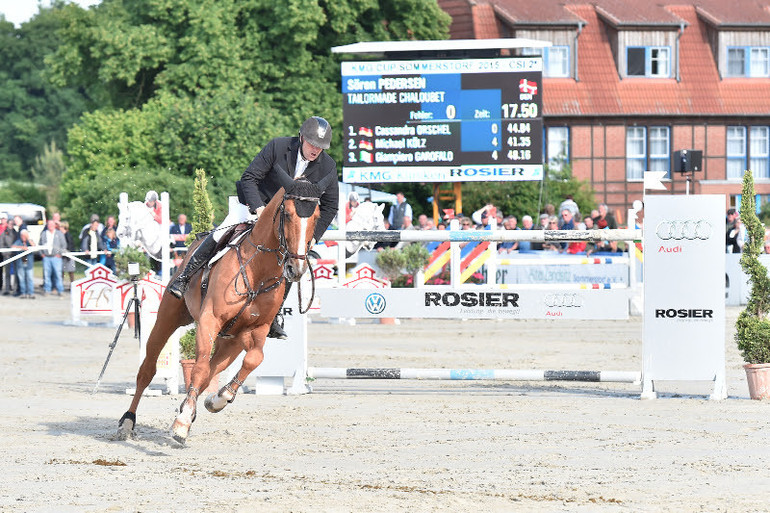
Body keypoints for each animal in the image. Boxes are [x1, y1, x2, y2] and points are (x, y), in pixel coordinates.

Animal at [115, 178, 322, 442]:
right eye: (287, 213)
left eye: (316, 217)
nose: (296, 268)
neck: (257, 271)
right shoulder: (209, 320)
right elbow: (200, 367)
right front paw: (182, 422)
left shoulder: (258, 328)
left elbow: (253, 359)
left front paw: (218, 399)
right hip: (168, 318)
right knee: (149, 369)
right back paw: (128, 422)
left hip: (231, 341)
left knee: (212, 371)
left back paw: (194, 406)